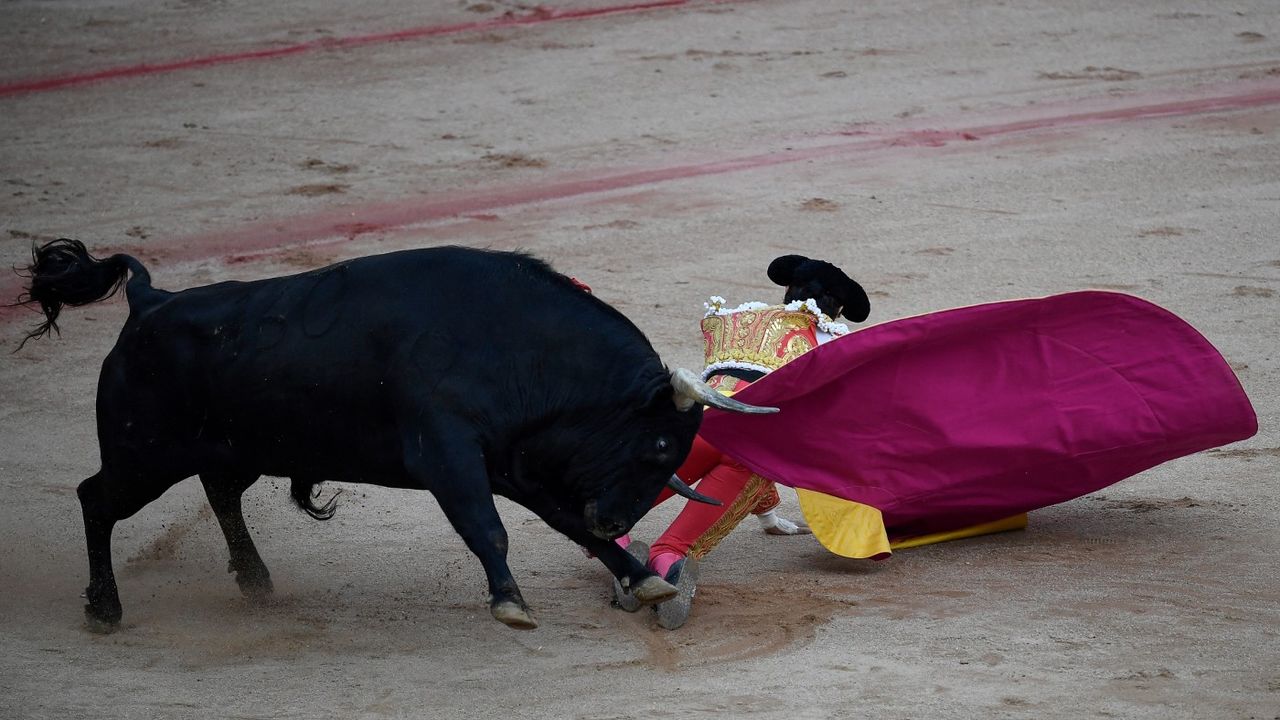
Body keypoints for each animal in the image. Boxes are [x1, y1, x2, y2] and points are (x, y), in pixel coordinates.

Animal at [20, 240, 773, 627]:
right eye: (658, 445)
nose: (617, 517)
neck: (512, 341)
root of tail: (149, 302)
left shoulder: (508, 464)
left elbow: (564, 524)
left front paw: (643, 580)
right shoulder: (447, 455)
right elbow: (487, 528)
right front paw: (510, 602)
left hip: (231, 446)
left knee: (220, 492)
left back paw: (257, 583)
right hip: (143, 453)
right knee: (95, 499)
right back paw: (105, 606)